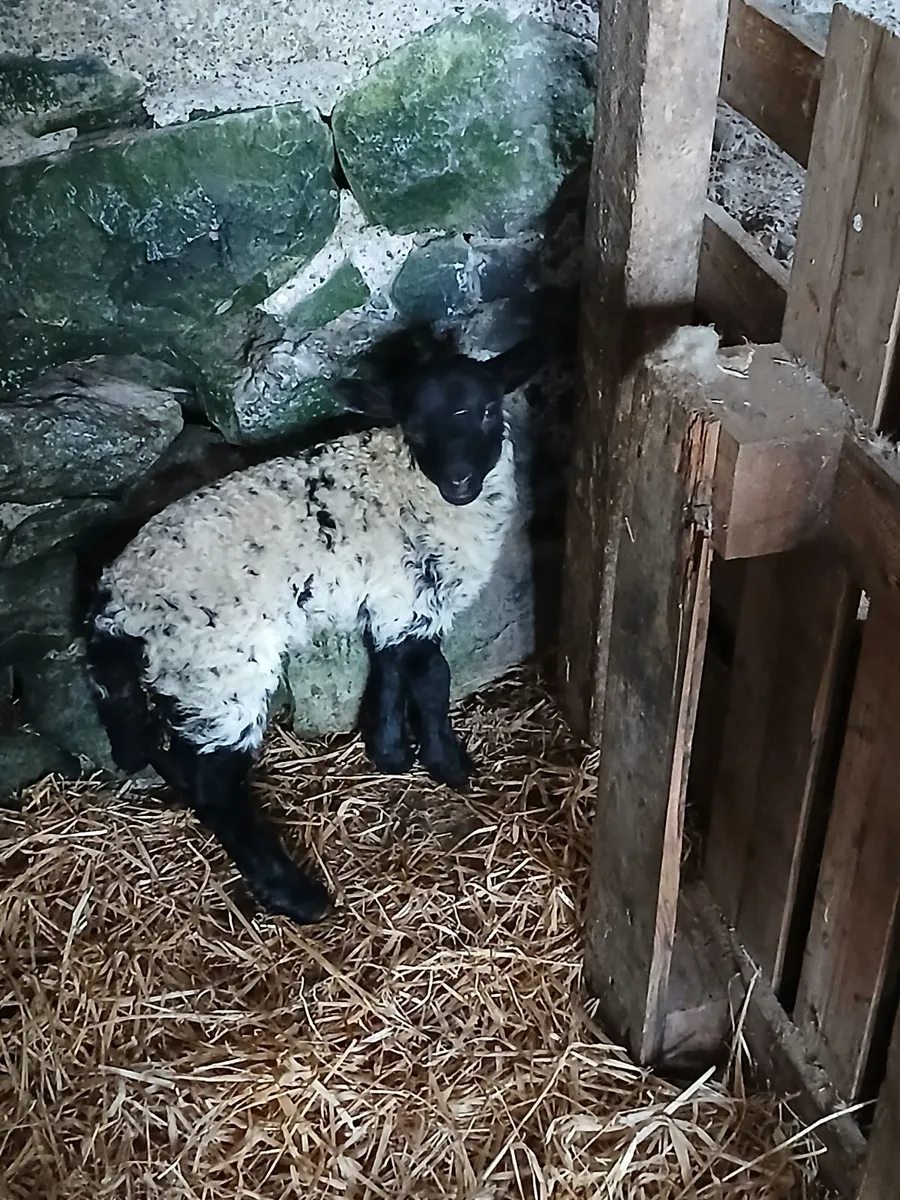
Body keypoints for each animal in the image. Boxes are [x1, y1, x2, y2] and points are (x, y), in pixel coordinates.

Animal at [86, 329, 537, 927]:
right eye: (415, 426)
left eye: (489, 410)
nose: (459, 482)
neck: (411, 486)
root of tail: (116, 605)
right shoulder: (414, 596)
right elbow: (432, 678)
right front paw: (449, 764)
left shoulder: (392, 597)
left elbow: (391, 667)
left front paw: (390, 751)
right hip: (220, 671)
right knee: (216, 788)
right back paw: (294, 894)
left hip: (178, 677)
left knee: (169, 753)